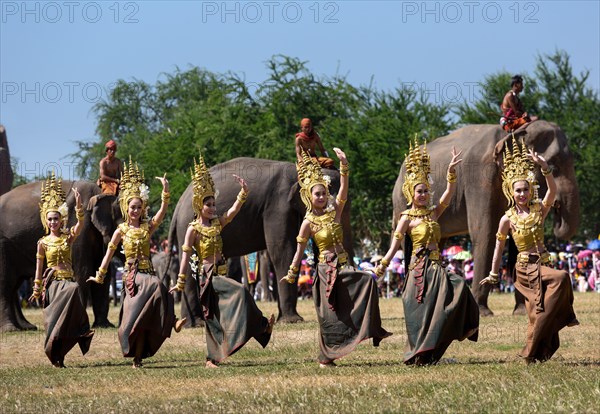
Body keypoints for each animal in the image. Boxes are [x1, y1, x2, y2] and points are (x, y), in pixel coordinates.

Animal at [0, 180, 122, 332]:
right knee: (6, 283)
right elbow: (83, 271)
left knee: (14, 285)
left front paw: (104, 325)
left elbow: (102, 274)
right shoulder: (81, 231)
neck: (101, 193)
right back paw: (11, 329)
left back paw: (26, 327)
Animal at [168, 157, 352, 326]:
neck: (296, 171)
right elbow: (283, 251)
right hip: (187, 227)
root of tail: (177, 207)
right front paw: (292, 321)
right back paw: (197, 323)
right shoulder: (278, 206)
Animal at [392, 121, 580, 316]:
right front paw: (483, 312)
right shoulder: (479, 178)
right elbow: (486, 235)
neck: (509, 134)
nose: (556, 211)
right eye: (554, 167)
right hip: (401, 202)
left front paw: (522, 311)